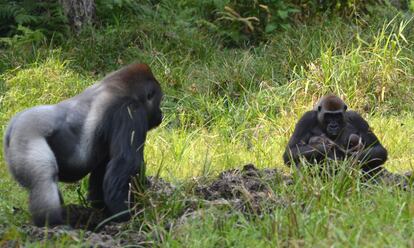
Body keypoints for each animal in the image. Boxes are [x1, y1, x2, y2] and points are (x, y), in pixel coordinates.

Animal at [3, 62, 163, 227]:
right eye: (159, 101)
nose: (161, 114)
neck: (122, 87)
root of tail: (12, 127)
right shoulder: (131, 110)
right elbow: (126, 162)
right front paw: (125, 216)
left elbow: (104, 170)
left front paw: (104, 212)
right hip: (27, 136)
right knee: (44, 180)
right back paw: (53, 223)